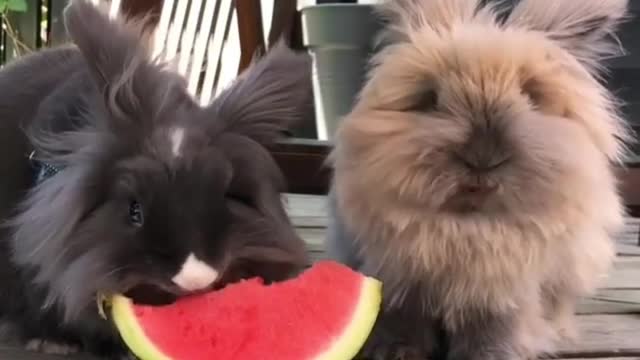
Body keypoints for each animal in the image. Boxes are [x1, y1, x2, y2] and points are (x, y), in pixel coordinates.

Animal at [328, 0, 632, 360]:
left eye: (532, 96)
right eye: (429, 98)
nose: (483, 157)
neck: (468, 225)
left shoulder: (501, 297)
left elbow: (492, 331)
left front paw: (488, 355)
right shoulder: (400, 281)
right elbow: (402, 319)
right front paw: (393, 351)